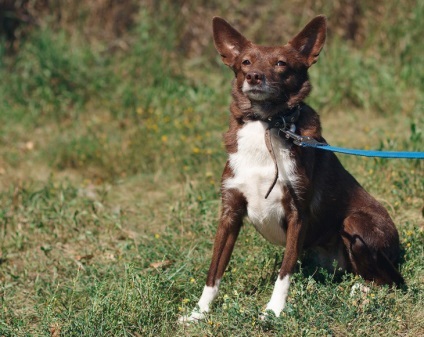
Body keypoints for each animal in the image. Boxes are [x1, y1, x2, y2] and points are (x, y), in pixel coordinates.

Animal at [179, 15, 404, 320]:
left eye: (281, 63)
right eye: (245, 62)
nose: (253, 77)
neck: (266, 124)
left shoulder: (298, 213)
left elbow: (284, 274)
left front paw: (273, 312)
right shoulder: (229, 214)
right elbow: (214, 272)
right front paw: (199, 313)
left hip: (356, 225)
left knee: (388, 280)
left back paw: (361, 291)